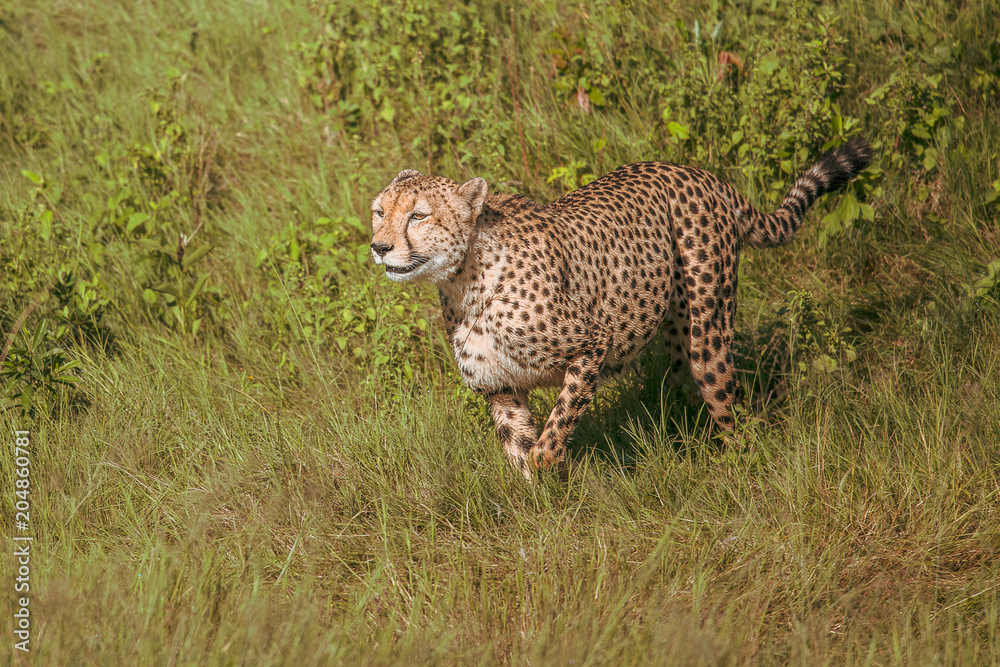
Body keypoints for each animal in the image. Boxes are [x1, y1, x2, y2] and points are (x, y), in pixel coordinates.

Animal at [369, 137, 872, 477]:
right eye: (379, 212)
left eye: (419, 215)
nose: (379, 247)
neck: (465, 282)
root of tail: (698, 173)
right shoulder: (500, 386)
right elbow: (518, 447)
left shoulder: (592, 344)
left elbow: (555, 428)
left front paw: (551, 466)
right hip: (675, 330)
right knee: (677, 387)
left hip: (709, 330)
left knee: (726, 405)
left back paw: (741, 466)